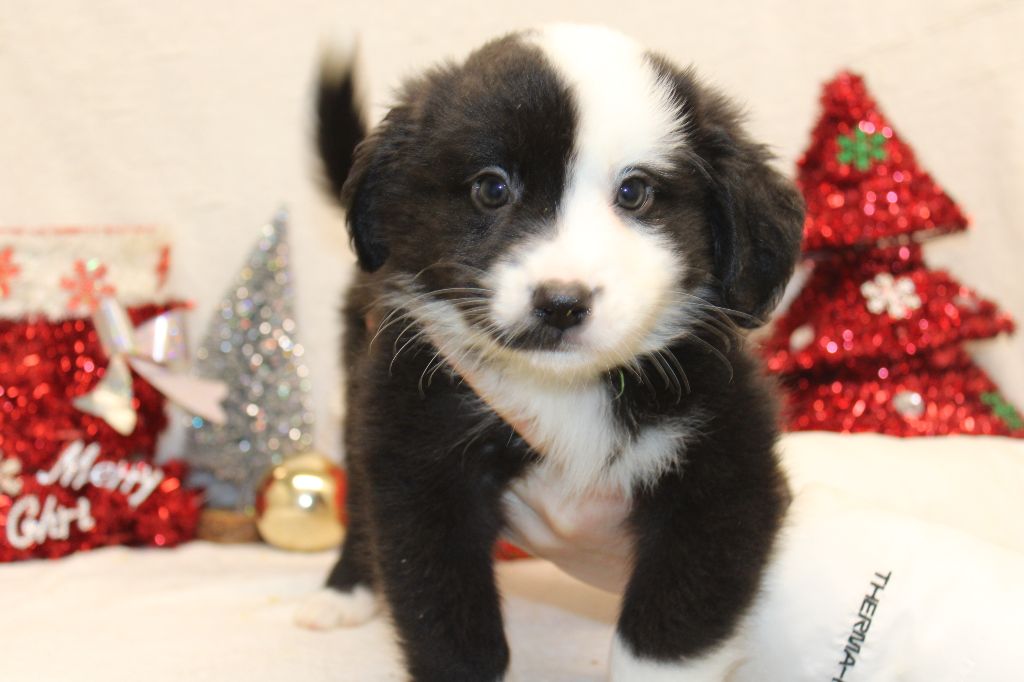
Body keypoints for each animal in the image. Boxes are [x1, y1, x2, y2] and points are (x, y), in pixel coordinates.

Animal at [299, 23, 802, 675]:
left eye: (635, 192)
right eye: (491, 187)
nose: (561, 303)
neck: (565, 388)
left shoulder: (727, 466)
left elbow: (668, 637)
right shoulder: (418, 453)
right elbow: (445, 620)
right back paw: (344, 591)